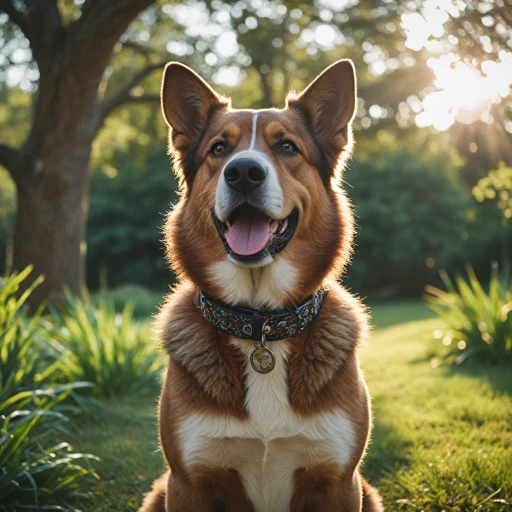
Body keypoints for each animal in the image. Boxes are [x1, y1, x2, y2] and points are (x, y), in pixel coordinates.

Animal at [140, 58, 384, 510]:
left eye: (287, 147)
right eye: (219, 149)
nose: (243, 173)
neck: (261, 326)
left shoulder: (340, 483)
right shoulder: (187, 483)